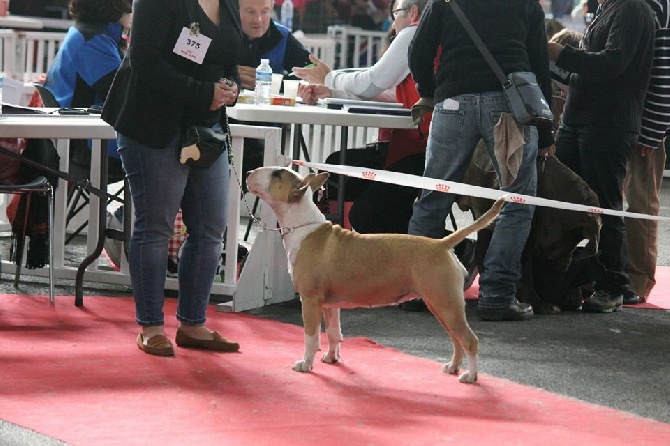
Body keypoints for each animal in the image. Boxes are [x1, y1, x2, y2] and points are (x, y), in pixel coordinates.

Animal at [247, 167, 504, 384]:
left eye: (277, 174)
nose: (249, 173)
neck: (303, 227)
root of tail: (442, 244)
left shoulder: (310, 300)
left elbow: (311, 336)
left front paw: (305, 364)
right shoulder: (329, 303)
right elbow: (333, 333)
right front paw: (331, 358)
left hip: (445, 303)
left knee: (468, 339)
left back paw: (470, 376)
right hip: (439, 304)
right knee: (455, 338)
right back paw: (452, 367)